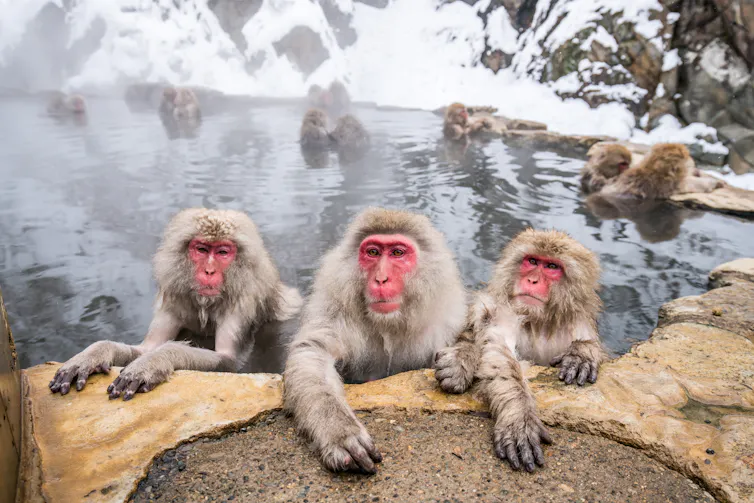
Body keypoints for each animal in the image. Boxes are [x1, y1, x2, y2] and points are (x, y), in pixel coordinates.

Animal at [49, 208, 303, 400]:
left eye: (222, 252)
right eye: (202, 249)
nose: (209, 271)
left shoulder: (242, 304)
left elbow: (229, 361)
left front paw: (154, 362)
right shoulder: (174, 299)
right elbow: (145, 348)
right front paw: (93, 354)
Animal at [283, 207, 467, 474]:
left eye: (398, 253)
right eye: (372, 252)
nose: (381, 279)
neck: (388, 324)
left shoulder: (448, 319)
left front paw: (461, 362)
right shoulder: (334, 311)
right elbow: (313, 352)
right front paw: (340, 431)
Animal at [434, 229, 605, 472]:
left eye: (551, 266)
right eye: (532, 261)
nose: (532, 280)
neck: (538, 322)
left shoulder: (577, 321)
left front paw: (581, 353)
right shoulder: (505, 312)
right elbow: (499, 352)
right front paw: (520, 417)